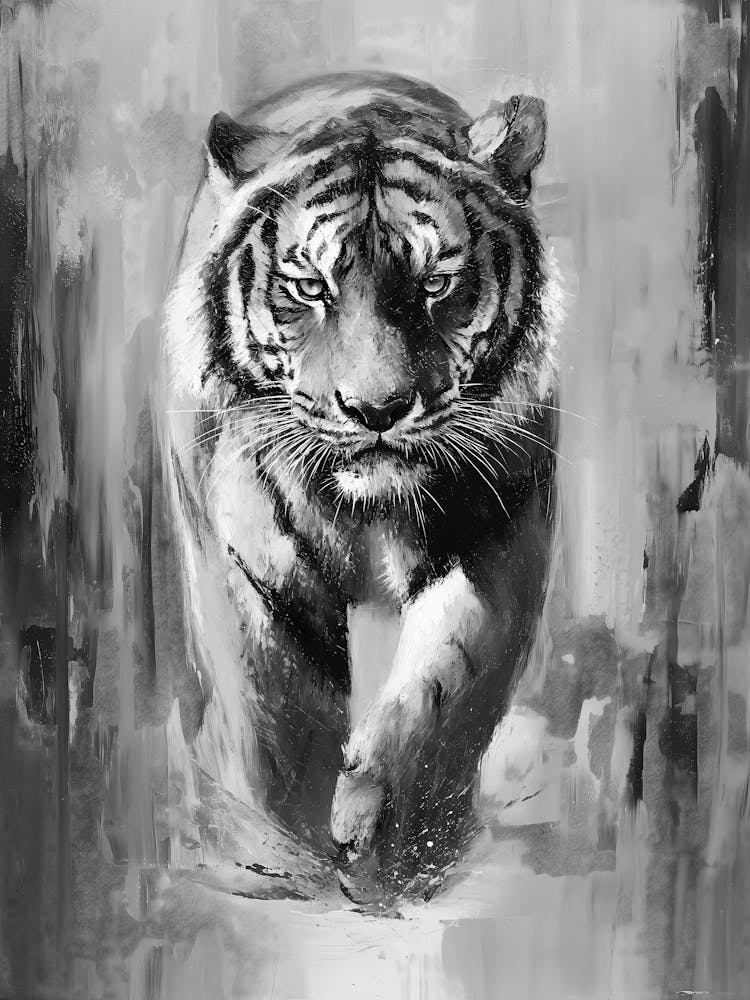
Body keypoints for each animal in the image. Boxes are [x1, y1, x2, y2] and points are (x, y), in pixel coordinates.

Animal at [162, 71, 558, 893]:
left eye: (437, 283)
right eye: (310, 286)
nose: (377, 409)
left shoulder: (499, 536)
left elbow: (445, 687)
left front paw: (387, 836)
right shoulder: (253, 577)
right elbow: (280, 727)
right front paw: (295, 854)